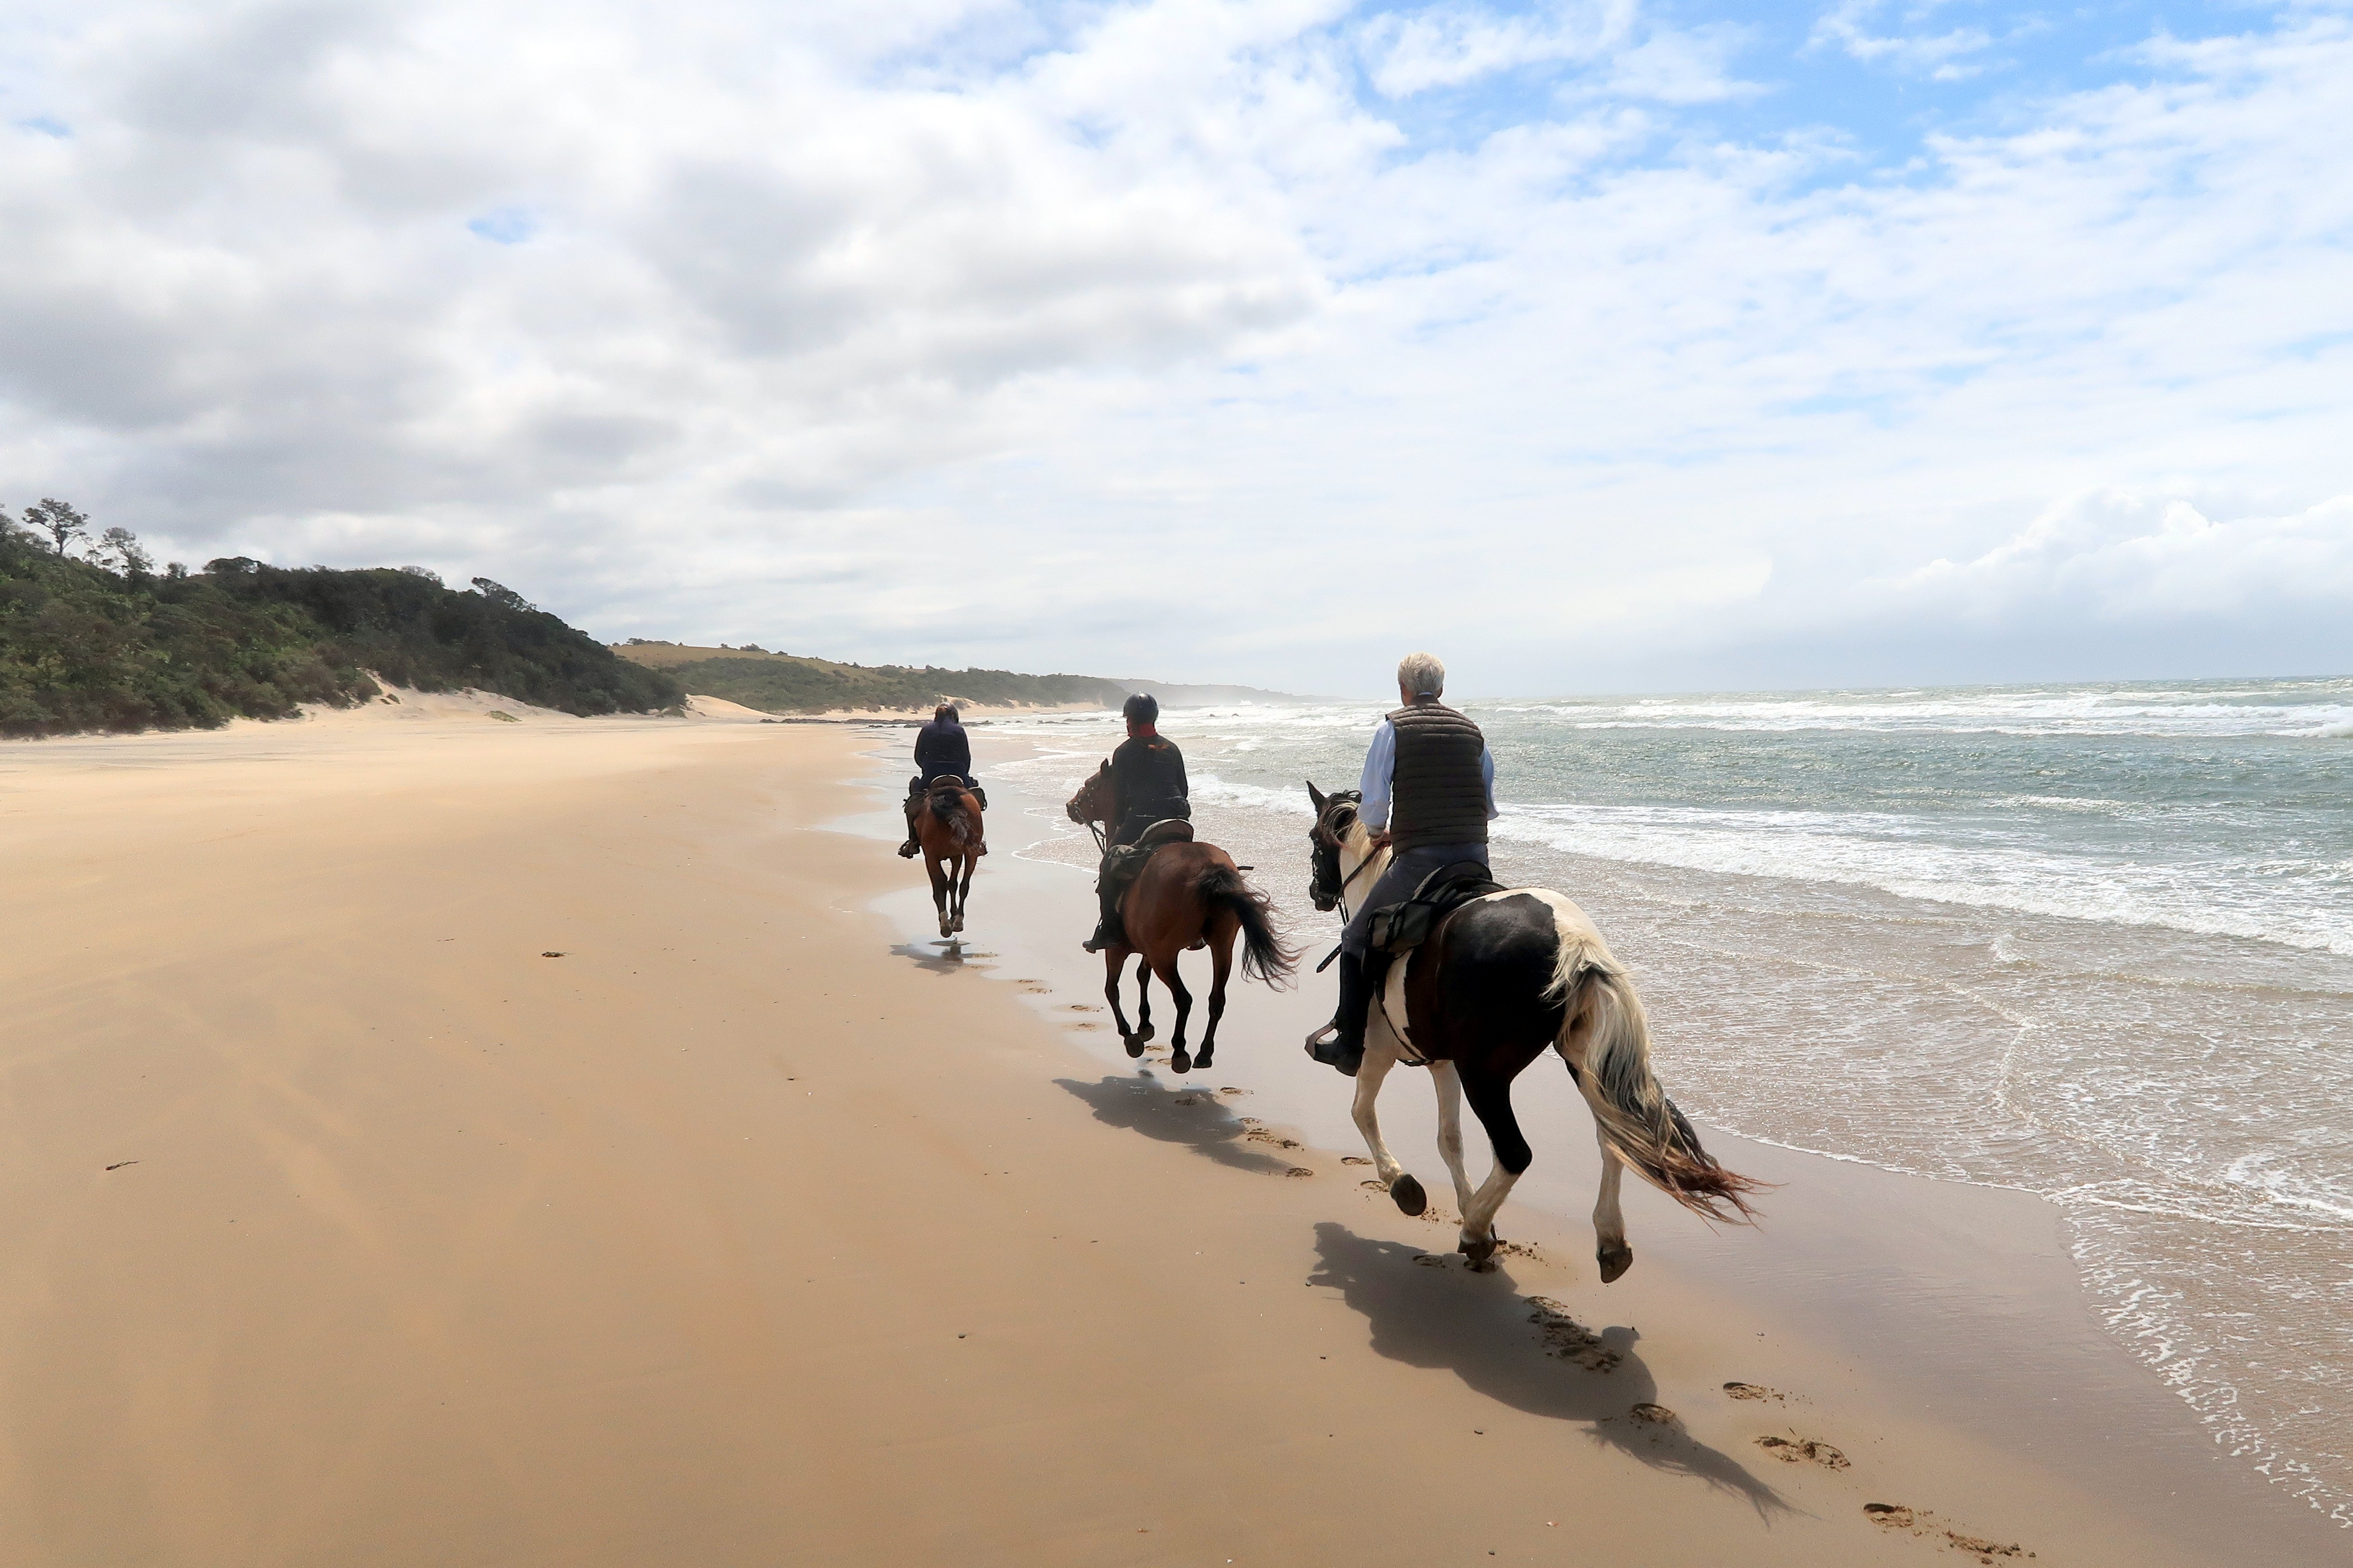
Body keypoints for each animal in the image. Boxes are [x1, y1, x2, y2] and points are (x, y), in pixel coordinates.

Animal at [908, 772, 984, 932]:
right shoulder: (957, 855)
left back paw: (945, 925)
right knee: (964, 884)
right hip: (970, 854)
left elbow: (943, 884)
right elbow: (953, 884)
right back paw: (958, 921)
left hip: (931, 856)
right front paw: (954, 915)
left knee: (940, 884)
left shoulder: (932, 856)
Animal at [1073, 758, 1299, 1074]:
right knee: (1216, 1000)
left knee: (1183, 998)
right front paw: (1145, 1025)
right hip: (1221, 946)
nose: (1072, 806)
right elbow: (1142, 976)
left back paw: (1180, 1051)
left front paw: (1132, 1035)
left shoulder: (1119, 950)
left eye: (1091, 784)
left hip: (1166, 955)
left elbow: (1112, 989)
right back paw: (1204, 1052)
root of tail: (1209, 868)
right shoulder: (1149, 948)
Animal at [1308, 777, 1769, 1281]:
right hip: (1582, 1063)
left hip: (1485, 1075)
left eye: (1314, 839)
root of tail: (1575, 942)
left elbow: (1362, 1112)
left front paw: (1405, 1185)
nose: (1316, 891)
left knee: (1515, 1153)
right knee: (1614, 1139)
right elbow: (1449, 1140)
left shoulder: (1379, 1052)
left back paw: (1475, 1230)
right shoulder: (1442, 1061)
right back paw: (1607, 1240)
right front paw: (1467, 1203)